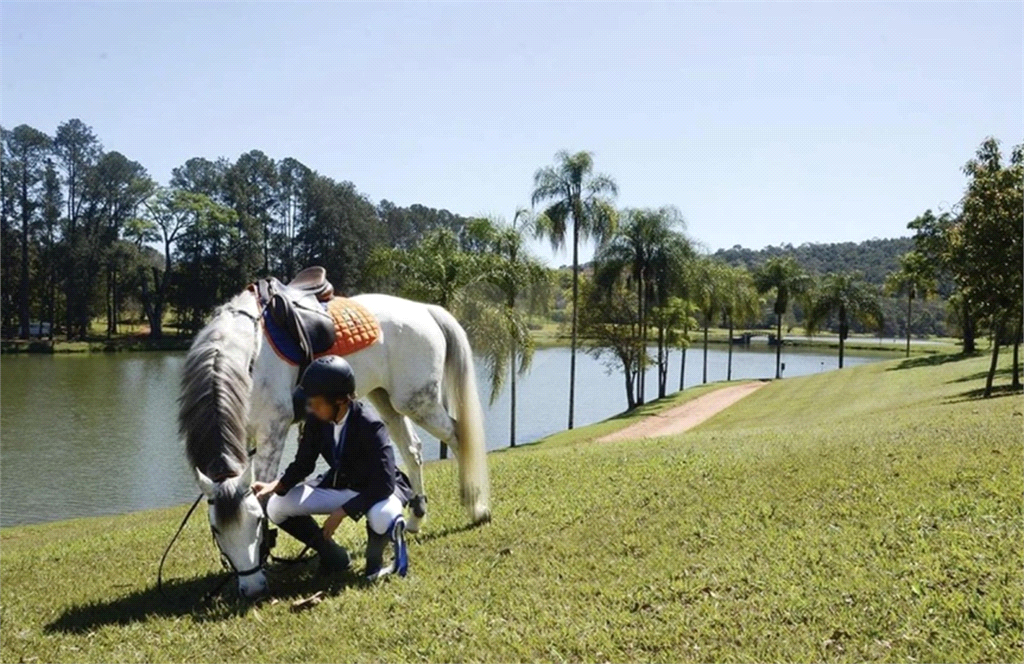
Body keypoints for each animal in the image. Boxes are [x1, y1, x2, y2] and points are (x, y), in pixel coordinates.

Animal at [179, 284, 487, 598]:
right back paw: (415, 519)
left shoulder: (272, 430)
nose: (252, 588)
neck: (246, 355)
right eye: (216, 530)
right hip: (386, 400)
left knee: (458, 436)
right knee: (412, 449)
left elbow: (265, 495)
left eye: (255, 522)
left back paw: (476, 507)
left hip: (417, 403)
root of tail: (423, 309)